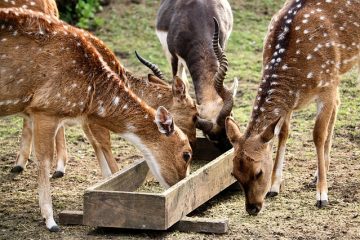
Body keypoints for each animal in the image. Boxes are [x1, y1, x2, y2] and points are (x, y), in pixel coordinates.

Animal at [0, 8, 193, 232]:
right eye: (186, 154)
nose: (181, 185)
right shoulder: (45, 108)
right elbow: (48, 157)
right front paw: (51, 221)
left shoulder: (73, 115)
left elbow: (96, 145)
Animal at [155, 0, 235, 150]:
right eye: (210, 137)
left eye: (230, 117)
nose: (227, 148)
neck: (198, 20)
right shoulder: (173, 57)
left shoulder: (222, 43)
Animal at [226, 0, 358, 215]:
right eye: (234, 174)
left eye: (259, 172)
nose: (252, 208)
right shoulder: (292, 103)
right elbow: (282, 133)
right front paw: (274, 187)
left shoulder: (327, 85)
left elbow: (318, 135)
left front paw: (322, 195)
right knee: (338, 103)